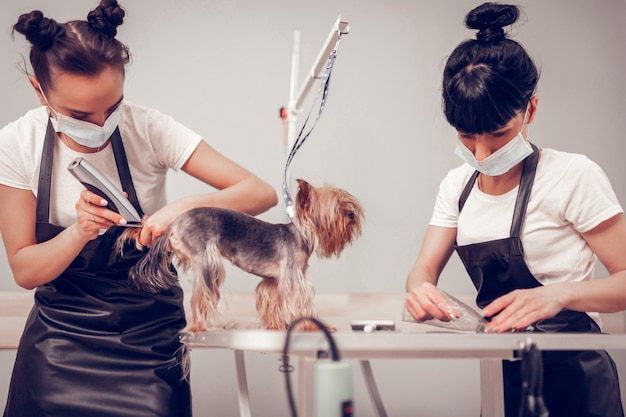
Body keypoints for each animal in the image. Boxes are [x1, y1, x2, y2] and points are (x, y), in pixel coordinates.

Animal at [120, 179, 364, 332]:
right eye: (335, 207)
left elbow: (271, 303)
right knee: (202, 295)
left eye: (347, 202)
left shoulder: (272, 281)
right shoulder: (294, 277)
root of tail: (175, 221)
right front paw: (313, 327)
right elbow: (302, 304)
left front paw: (276, 326)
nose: (352, 213)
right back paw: (200, 326)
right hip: (207, 259)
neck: (301, 233)